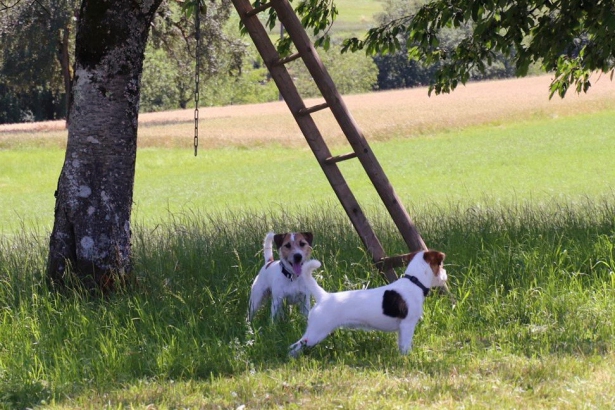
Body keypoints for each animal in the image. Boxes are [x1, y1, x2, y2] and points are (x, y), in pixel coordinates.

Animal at [288, 250, 448, 356]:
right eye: (441, 265)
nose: (446, 275)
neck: (414, 282)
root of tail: (324, 296)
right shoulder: (407, 325)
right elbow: (406, 344)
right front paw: (407, 357)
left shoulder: (402, 329)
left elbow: (401, 344)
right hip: (316, 332)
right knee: (297, 346)